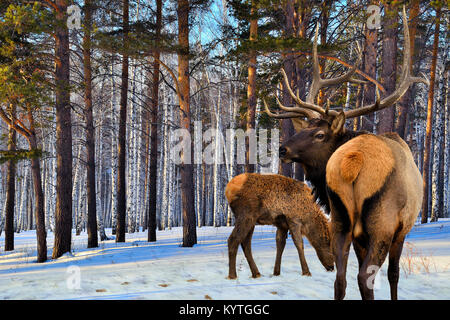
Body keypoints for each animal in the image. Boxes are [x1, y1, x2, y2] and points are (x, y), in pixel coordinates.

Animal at [266, 6, 428, 300]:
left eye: (319, 134)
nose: (283, 149)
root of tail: (354, 161)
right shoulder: (401, 229)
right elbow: (394, 275)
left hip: (340, 220)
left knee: (339, 279)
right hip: (381, 223)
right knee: (365, 277)